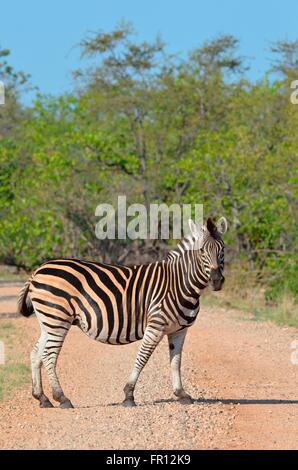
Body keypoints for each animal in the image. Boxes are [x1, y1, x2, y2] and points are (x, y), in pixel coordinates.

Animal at [18, 217, 228, 408]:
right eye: (202, 251)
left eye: (222, 250)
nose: (217, 281)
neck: (180, 283)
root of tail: (38, 270)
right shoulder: (155, 326)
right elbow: (142, 358)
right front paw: (129, 395)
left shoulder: (180, 330)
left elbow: (176, 361)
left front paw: (181, 394)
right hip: (57, 319)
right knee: (48, 355)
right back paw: (62, 398)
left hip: (48, 322)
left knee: (36, 354)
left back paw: (42, 398)